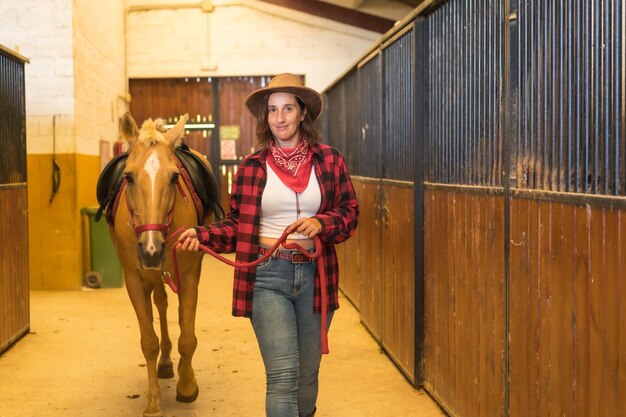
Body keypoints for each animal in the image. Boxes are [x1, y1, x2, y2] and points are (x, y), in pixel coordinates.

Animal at [101, 112, 218, 416]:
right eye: (128, 177)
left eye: (174, 177)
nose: (152, 249)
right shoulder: (134, 279)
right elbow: (149, 341)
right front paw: (153, 402)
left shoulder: (188, 275)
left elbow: (187, 336)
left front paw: (187, 387)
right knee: (162, 305)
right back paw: (165, 363)